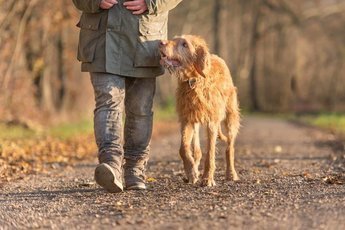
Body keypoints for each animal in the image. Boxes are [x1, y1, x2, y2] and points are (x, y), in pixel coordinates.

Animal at [159, 35, 239, 187]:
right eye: (174, 39)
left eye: (185, 44)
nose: (161, 42)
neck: (194, 80)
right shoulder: (187, 120)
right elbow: (183, 149)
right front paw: (191, 172)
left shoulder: (212, 123)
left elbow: (210, 153)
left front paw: (207, 178)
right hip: (196, 123)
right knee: (197, 150)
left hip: (231, 117)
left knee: (230, 147)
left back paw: (231, 174)